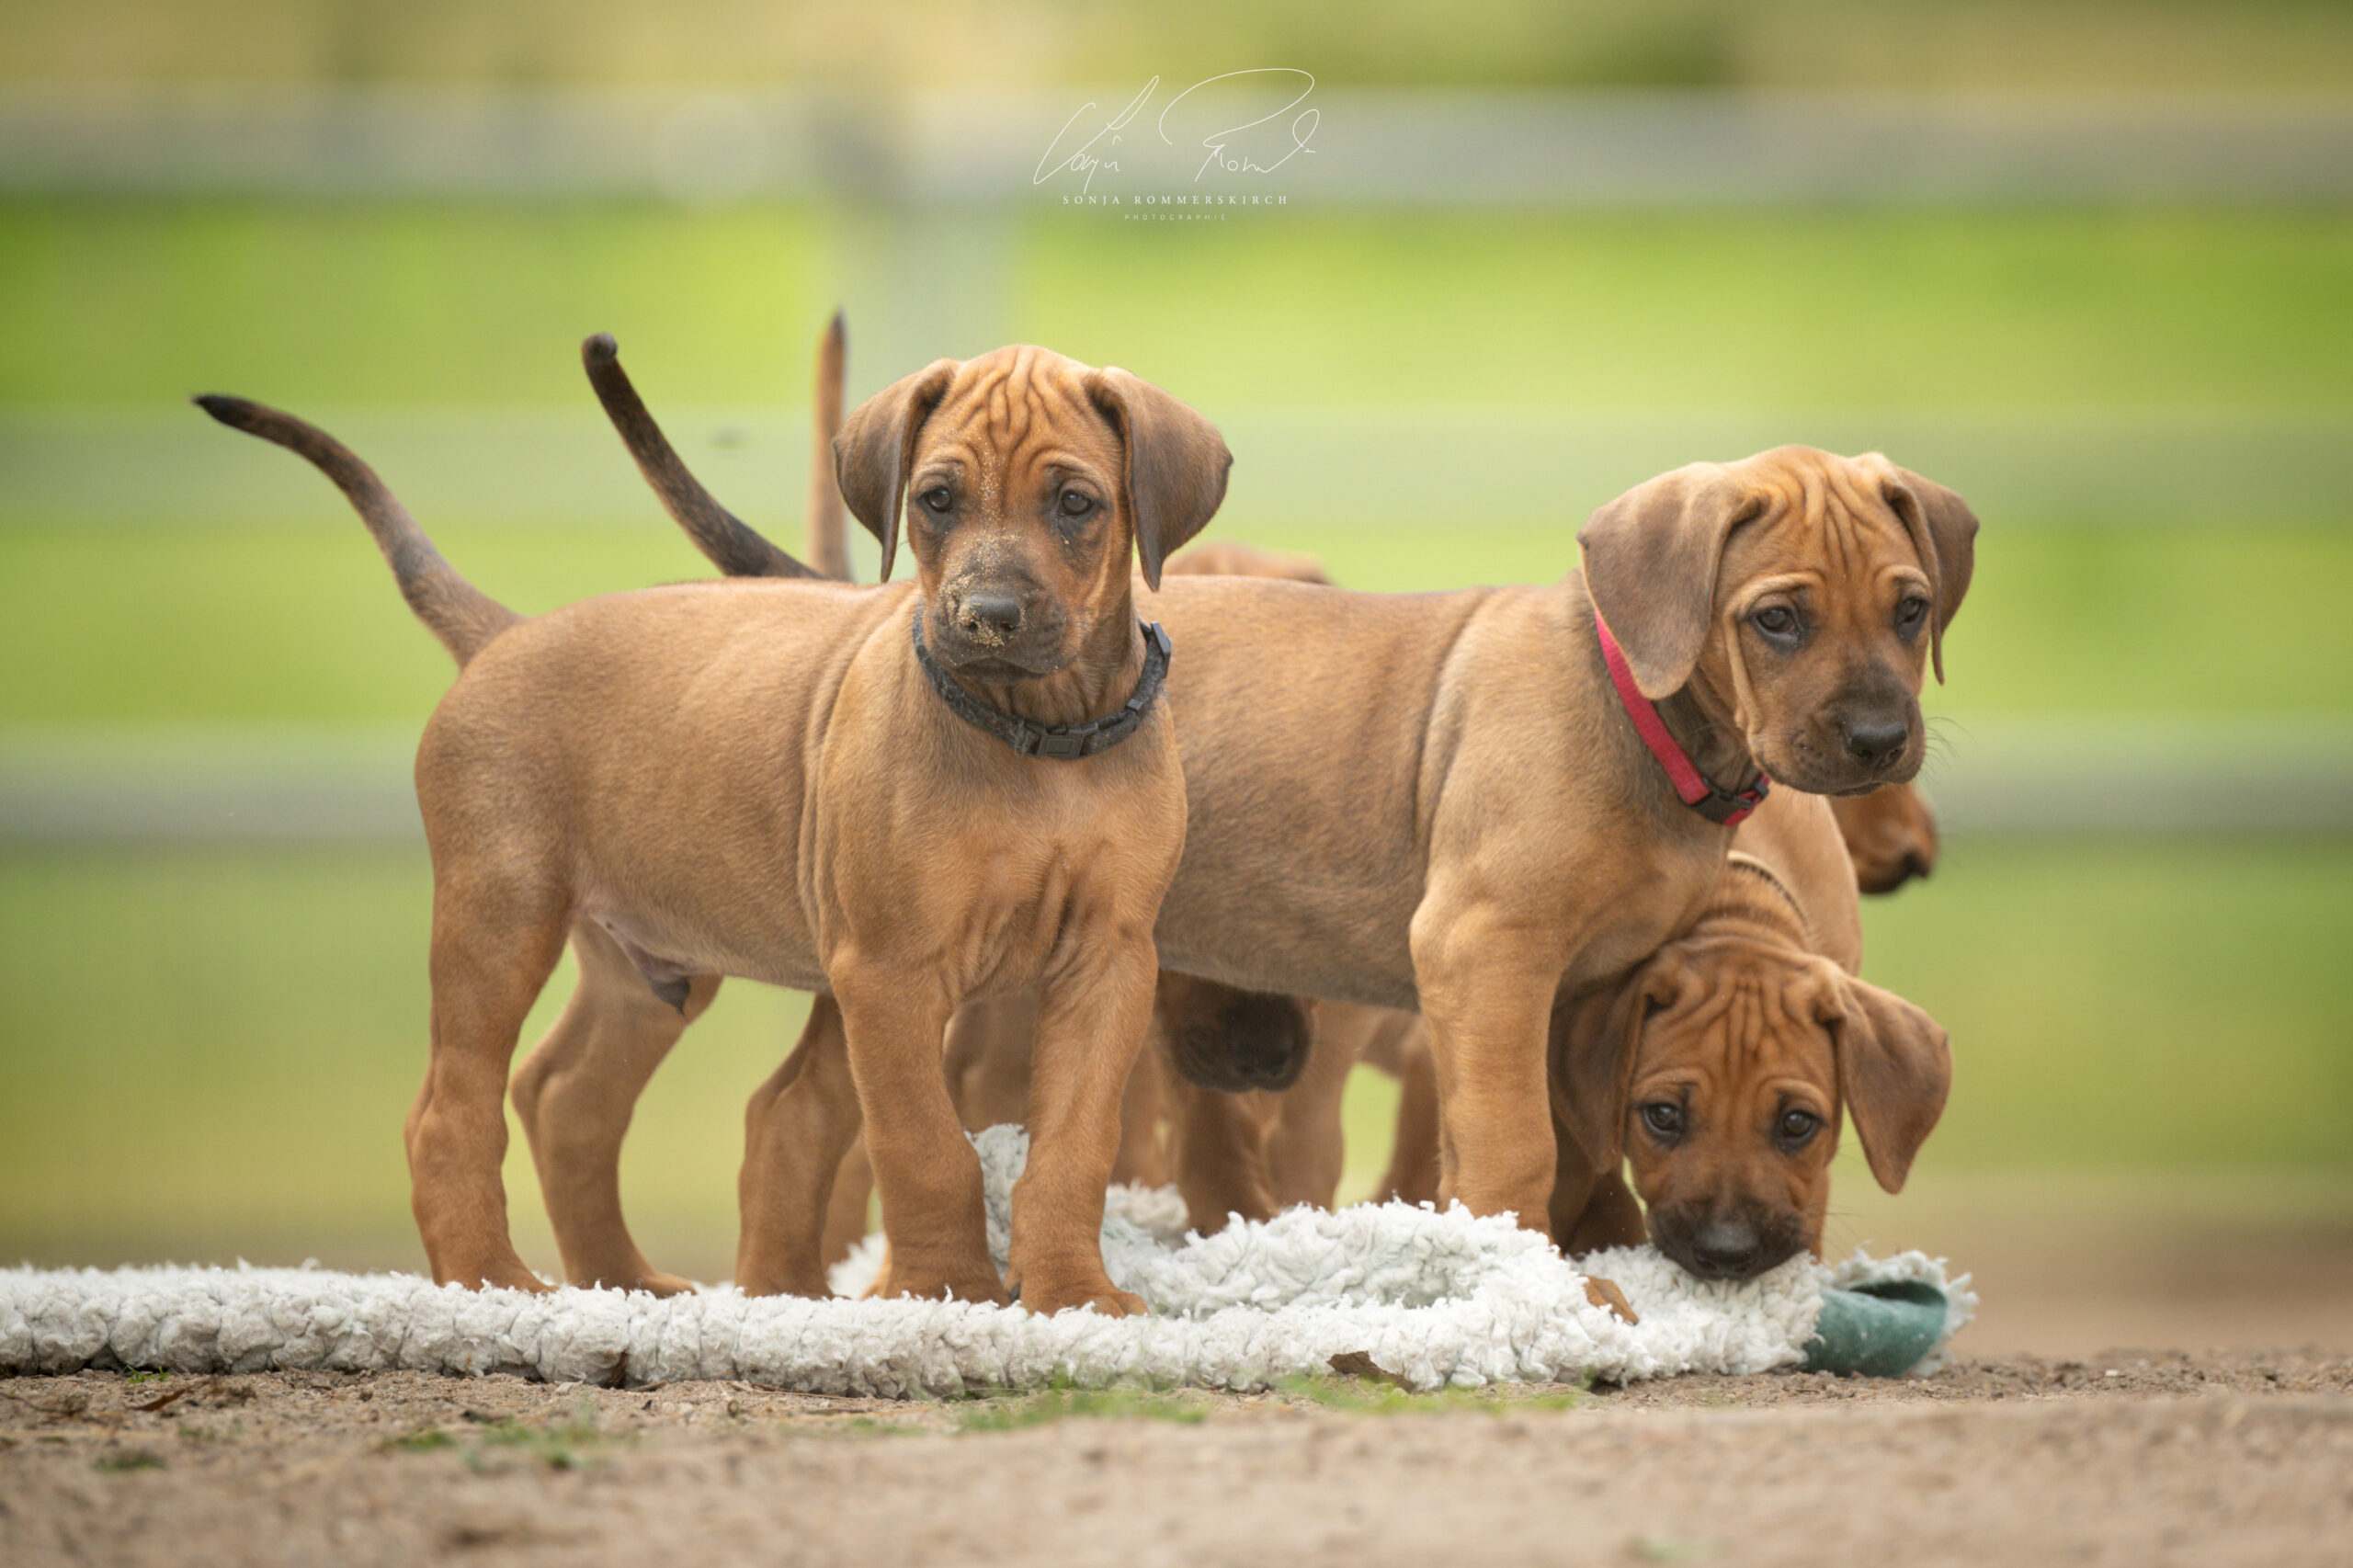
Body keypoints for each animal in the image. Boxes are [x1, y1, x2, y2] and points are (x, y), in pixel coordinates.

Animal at [198, 338, 1233, 1309]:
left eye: (1076, 503)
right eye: (936, 499)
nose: (986, 617)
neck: (1038, 740)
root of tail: (506, 633)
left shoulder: (1105, 965)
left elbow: (1073, 1148)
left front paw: (1071, 1294)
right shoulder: (890, 971)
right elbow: (925, 1146)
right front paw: (947, 1294)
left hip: (647, 966)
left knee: (569, 1098)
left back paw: (621, 1281)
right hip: (498, 918)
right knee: (451, 1112)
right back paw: (491, 1279)